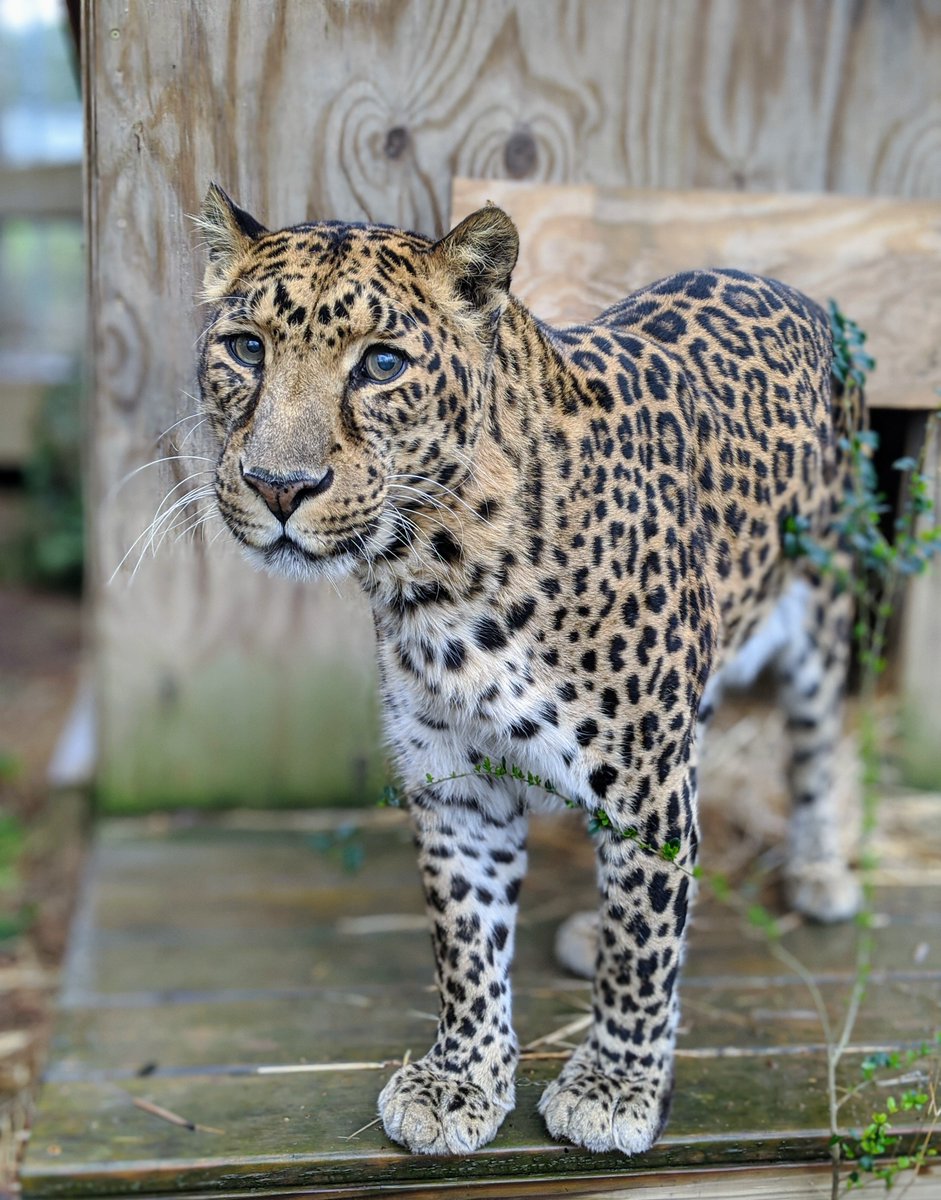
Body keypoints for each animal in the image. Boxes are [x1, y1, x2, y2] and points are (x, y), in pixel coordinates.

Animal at [194, 183, 861, 1157]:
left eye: (381, 363)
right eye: (247, 348)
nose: (280, 485)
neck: (433, 578)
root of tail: (783, 282)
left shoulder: (645, 782)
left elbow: (641, 947)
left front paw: (614, 1087)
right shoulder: (454, 782)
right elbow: (465, 941)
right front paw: (459, 1079)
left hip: (823, 601)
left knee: (815, 744)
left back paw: (818, 872)